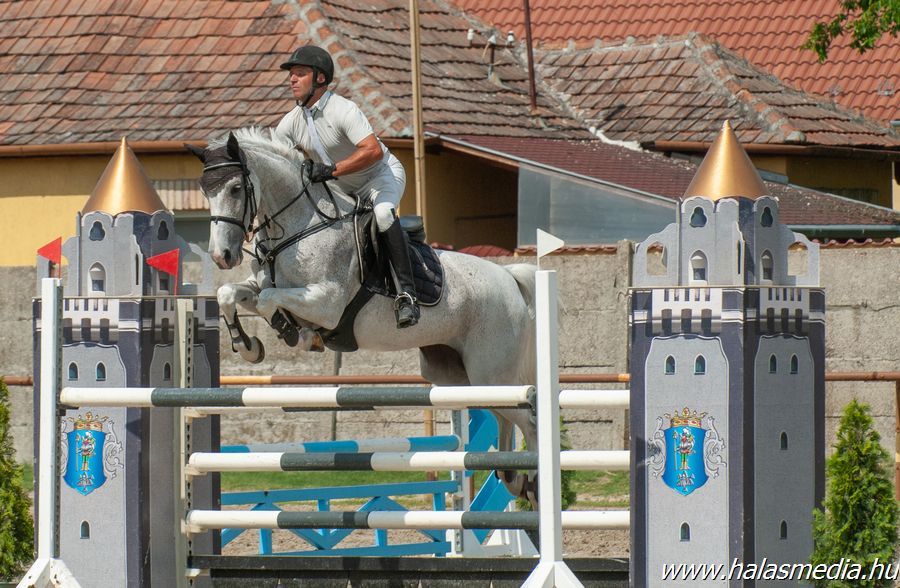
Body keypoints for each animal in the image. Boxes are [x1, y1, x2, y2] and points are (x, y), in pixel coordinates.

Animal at [188, 129, 540, 500]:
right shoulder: (262, 288)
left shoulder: (325, 303)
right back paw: (512, 477)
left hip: (491, 371)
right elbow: (230, 294)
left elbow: (271, 300)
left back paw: (531, 480)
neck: (299, 228)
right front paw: (248, 346)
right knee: (504, 417)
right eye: (205, 191)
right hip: (459, 377)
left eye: (235, 188)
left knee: (528, 419)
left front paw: (293, 331)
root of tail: (509, 277)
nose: (222, 256)